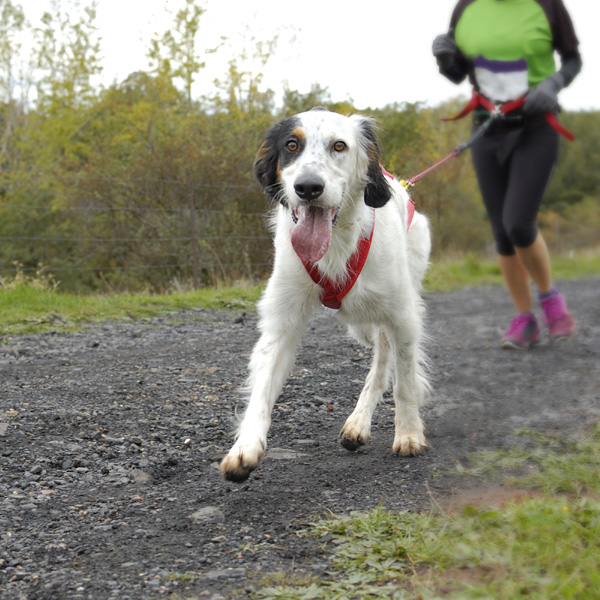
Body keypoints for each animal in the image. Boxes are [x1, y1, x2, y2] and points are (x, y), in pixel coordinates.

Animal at [220, 108, 432, 482]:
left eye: (339, 145)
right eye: (291, 145)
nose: (308, 187)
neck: (335, 247)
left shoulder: (404, 316)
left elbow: (405, 382)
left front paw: (408, 433)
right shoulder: (281, 320)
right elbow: (262, 387)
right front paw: (244, 448)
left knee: (383, 364)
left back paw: (360, 422)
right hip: (362, 326)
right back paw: (358, 424)